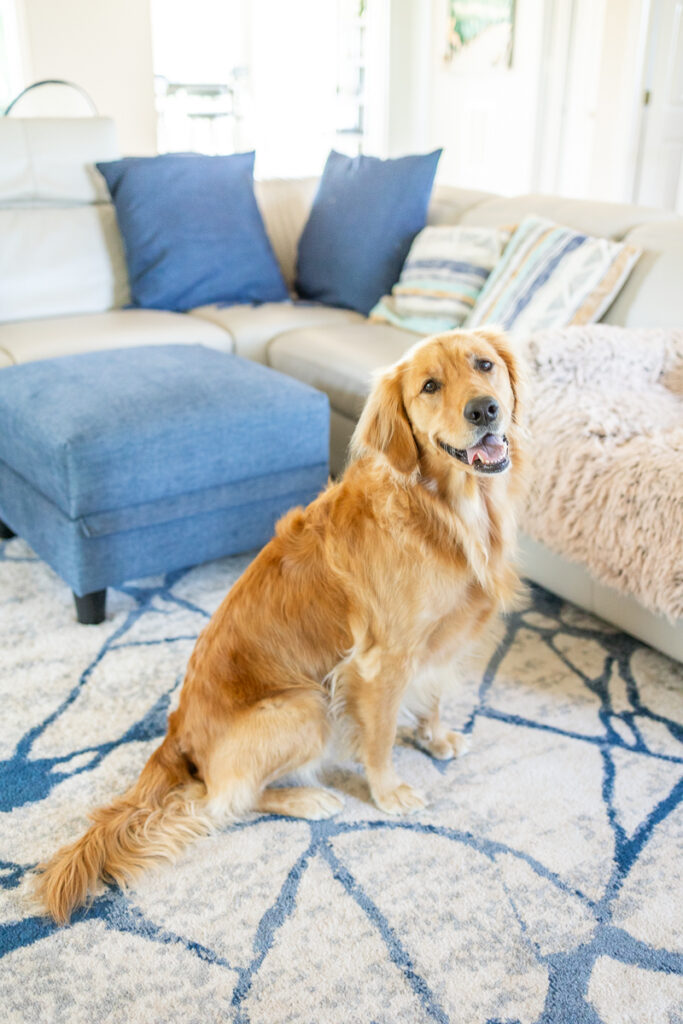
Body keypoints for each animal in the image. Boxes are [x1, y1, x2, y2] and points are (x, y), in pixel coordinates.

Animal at [37, 329, 528, 929]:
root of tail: (179, 731)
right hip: (306, 706)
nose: (485, 410)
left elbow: (432, 698)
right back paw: (307, 799)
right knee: (219, 799)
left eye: (484, 365)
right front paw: (388, 791)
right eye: (430, 386)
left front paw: (434, 739)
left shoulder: (441, 644)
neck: (447, 513)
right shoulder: (380, 661)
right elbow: (380, 738)